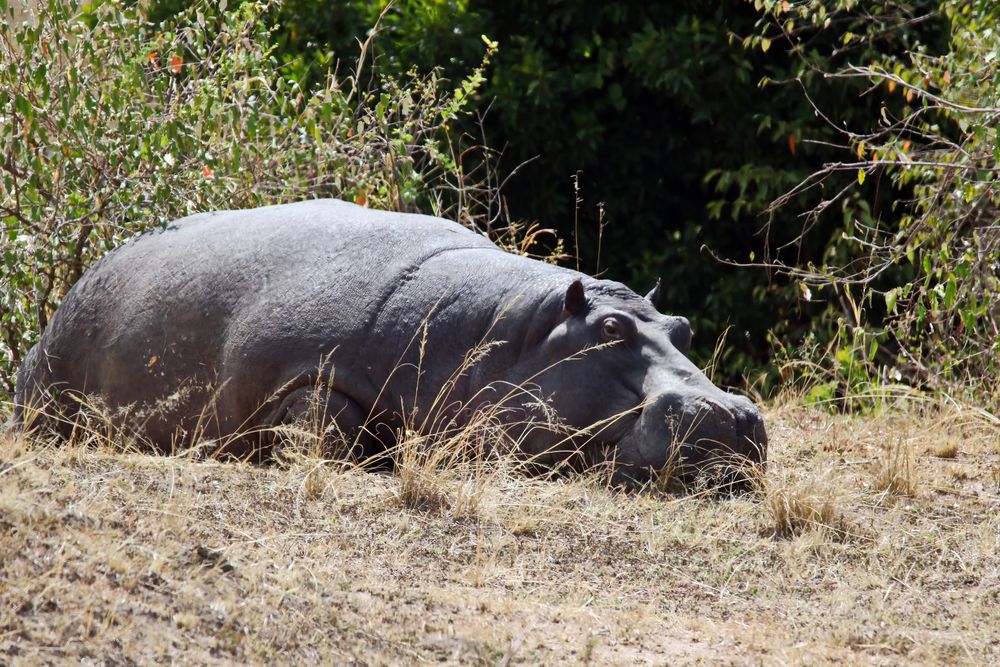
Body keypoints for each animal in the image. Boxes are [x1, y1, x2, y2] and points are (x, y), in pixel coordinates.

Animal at [13, 199, 766, 487]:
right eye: (610, 329)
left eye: (683, 328)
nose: (734, 414)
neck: (510, 333)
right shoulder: (309, 374)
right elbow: (326, 425)